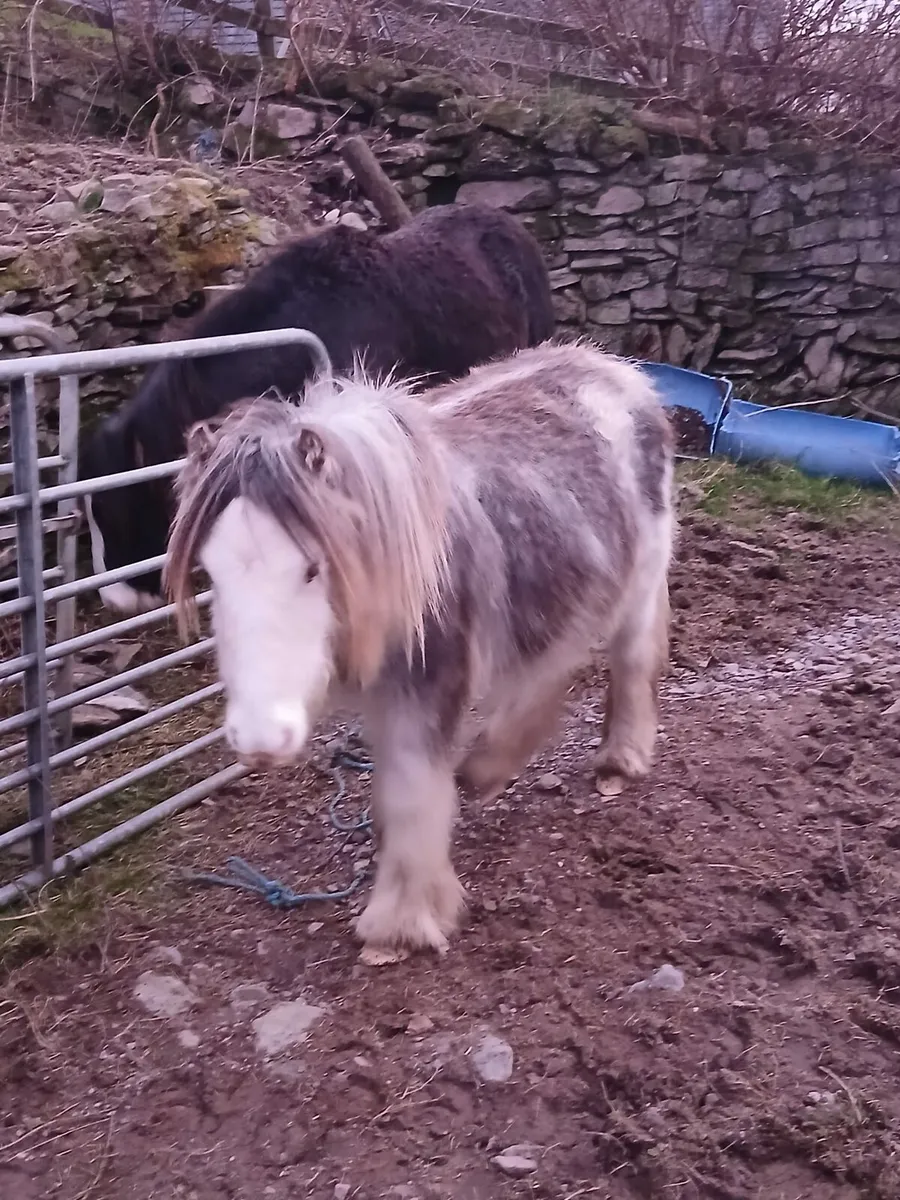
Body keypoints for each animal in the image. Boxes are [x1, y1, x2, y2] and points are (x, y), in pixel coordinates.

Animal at [164, 340, 676, 964]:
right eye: (210, 573)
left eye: (312, 569)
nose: (260, 742)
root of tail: (615, 370)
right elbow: (394, 790)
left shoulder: (427, 688)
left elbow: (412, 791)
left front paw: (400, 925)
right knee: (547, 673)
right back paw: (486, 770)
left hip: (641, 578)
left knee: (632, 658)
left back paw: (619, 760)